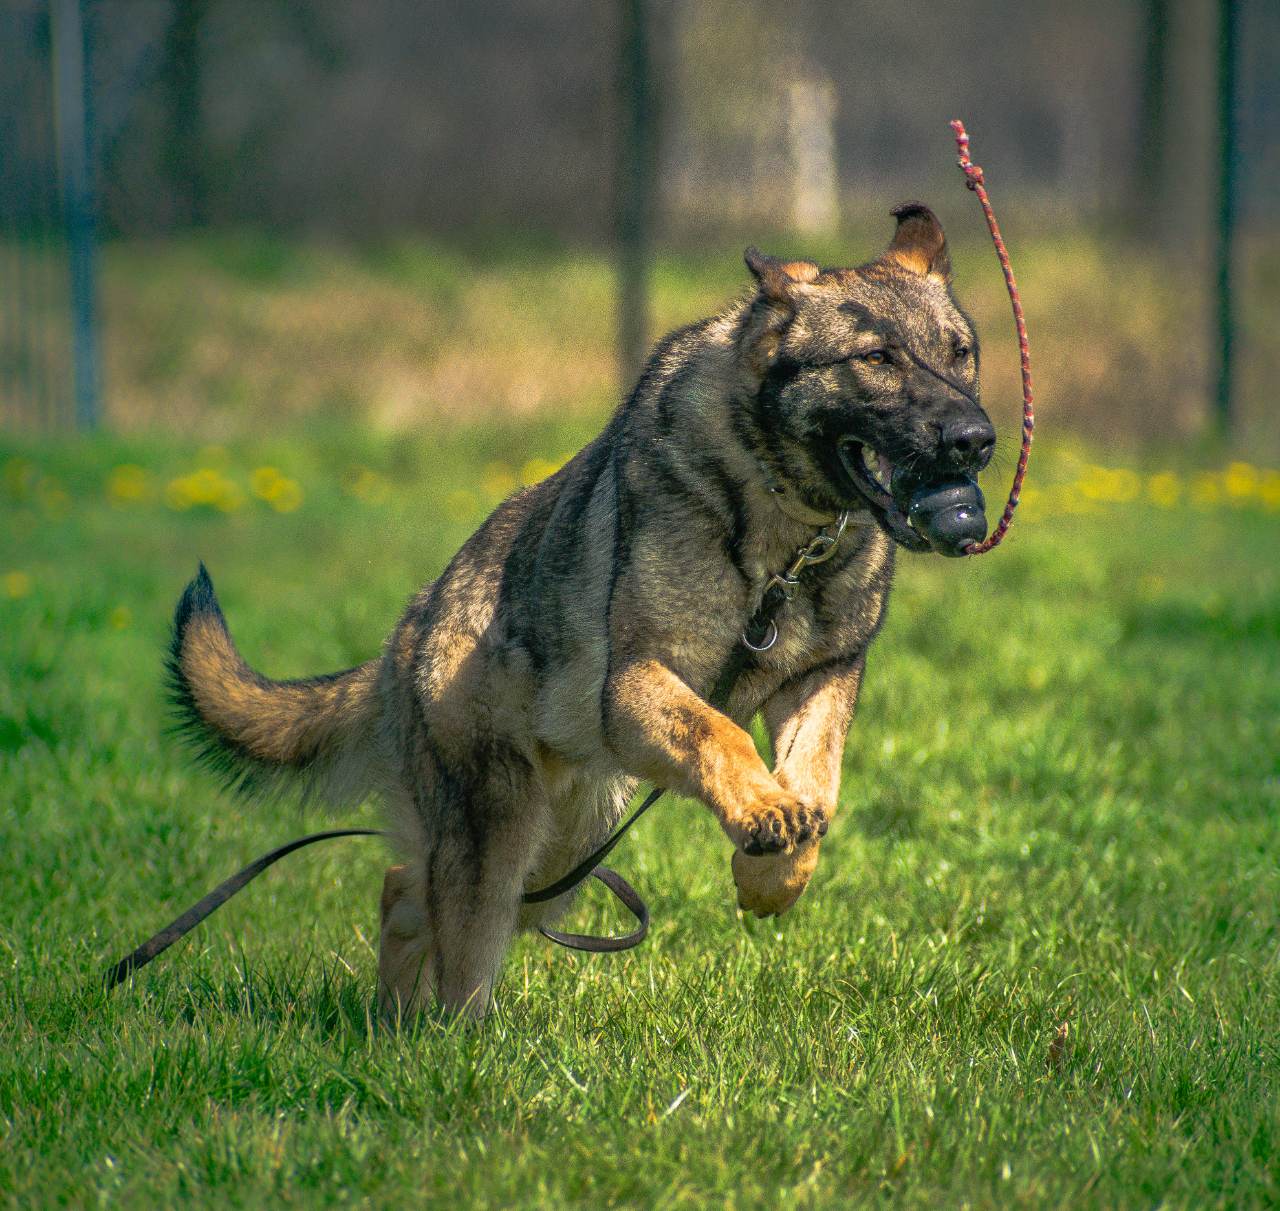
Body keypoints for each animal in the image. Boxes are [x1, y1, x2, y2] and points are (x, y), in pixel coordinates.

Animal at [167, 203, 988, 1013]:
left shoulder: (820, 678)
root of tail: (407, 634)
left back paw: (398, 1021)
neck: (784, 539)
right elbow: (721, 731)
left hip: (566, 847)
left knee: (405, 889)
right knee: (454, 935)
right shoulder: (636, 683)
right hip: (503, 840)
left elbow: (818, 781)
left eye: (961, 354)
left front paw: (773, 873)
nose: (975, 440)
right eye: (877, 359)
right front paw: (761, 812)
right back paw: (449, 1037)